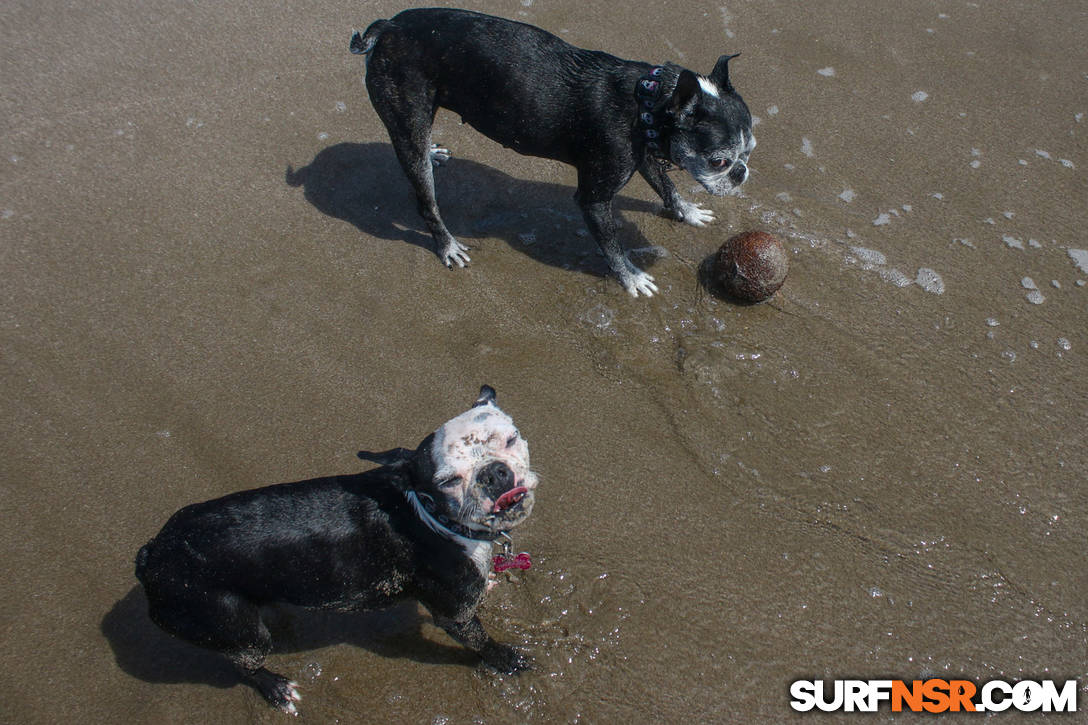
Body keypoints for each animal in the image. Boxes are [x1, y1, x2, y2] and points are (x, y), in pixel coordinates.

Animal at [133, 383, 537, 709]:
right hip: (228, 623)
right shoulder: (455, 614)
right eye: (449, 481)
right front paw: (505, 658)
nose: (494, 473)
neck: (430, 514)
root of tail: (152, 556)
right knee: (245, 662)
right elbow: (479, 639)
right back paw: (275, 688)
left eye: (511, 439)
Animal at [352, 8, 752, 296]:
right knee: (426, 200)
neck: (648, 100)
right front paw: (631, 277)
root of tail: (387, 27)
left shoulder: (646, 152)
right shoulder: (594, 198)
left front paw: (688, 211)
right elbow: (612, 245)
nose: (742, 173)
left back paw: (432, 151)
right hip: (405, 114)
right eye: (719, 160)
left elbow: (665, 186)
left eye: (750, 150)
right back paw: (447, 244)